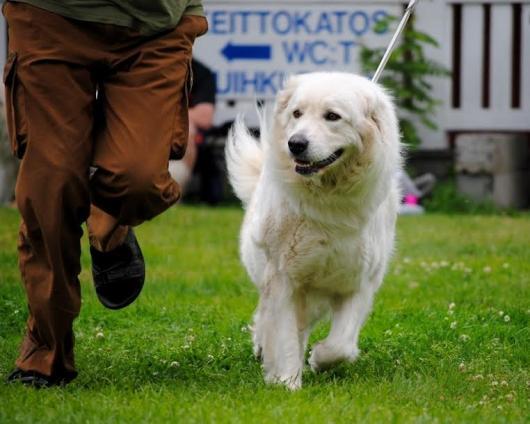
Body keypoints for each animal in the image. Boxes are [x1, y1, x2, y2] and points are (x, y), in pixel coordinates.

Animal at [223, 71, 400, 390]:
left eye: (332, 116)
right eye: (297, 113)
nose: (295, 143)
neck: (328, 199)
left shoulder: (359, 283)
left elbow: (341, 344)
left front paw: (319, 359)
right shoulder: (284, 279)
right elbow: (284, 335)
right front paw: (287, 382)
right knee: (271, 319)